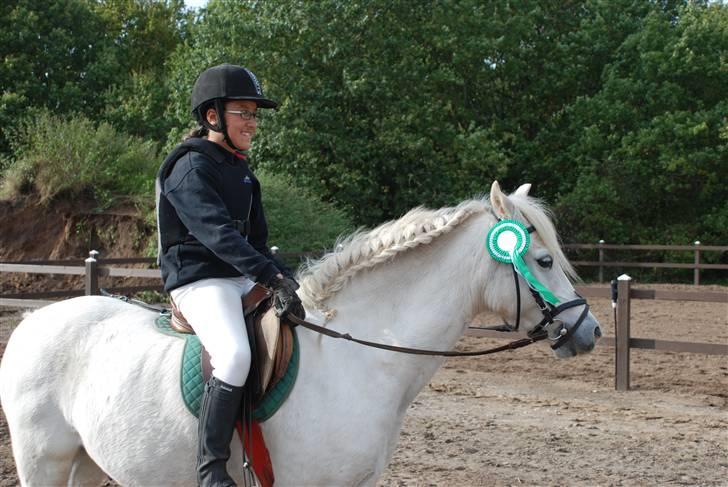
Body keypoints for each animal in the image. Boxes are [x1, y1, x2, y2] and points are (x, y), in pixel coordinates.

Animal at [0, 181, 600, 486]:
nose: (588, 330)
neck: (356, 359)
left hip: (88, 463)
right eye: (543, 259)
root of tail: (36, 320)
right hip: (42, 461)